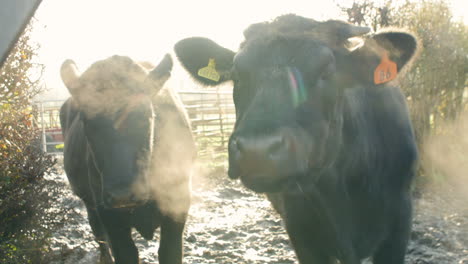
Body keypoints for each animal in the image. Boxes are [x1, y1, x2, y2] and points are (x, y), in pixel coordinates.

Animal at [59, 54, 195, 264]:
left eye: (146, 116)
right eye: (86, 121)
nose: (122, 194)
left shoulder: (177, 208)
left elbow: (169, 252)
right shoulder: (111, 217)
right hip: (90, 203)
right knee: (99, 234)